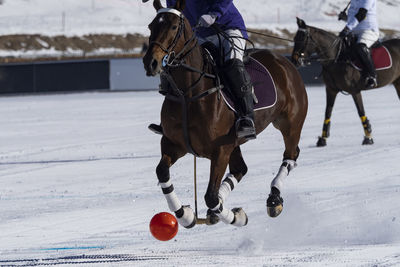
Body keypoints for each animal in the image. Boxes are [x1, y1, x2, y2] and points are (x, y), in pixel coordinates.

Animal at [142, 0, 308, 230]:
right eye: (151, 26)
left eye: (174, 27)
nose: (151, 62)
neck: (188, 94)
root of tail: (285, 61)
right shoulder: (173, 144)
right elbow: (162, 173)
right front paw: (186, 215)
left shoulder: (220, 150)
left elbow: (210, 196)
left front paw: (237, 216)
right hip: (236, 142)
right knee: (241, 169)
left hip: (289, 123)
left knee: (290, 155)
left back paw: (274, 198)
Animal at [290, 17, 400, 148]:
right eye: (295, 38)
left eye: (302, 38)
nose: (294, 60)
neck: (337, 58)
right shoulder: (331, 90)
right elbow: (328, 112)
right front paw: (322, 139)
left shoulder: (355, 91)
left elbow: (360, 111)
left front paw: (368, 138)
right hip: (398, 82)